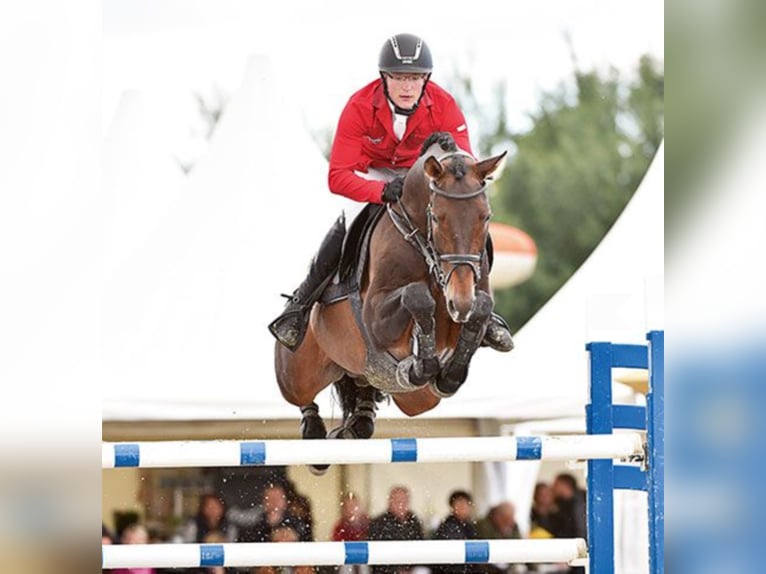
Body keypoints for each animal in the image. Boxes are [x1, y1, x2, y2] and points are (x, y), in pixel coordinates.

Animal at [272, 133, 508, 474]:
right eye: (437, 217)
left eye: (485, 217)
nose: (459, 300)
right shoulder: (375, 318)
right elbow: (416, 296)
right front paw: (421, 363)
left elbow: (482, 309)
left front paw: (447, 373)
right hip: (296, 373)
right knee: (303, 398)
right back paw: (315, 435)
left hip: (412, 398)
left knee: (365, 397)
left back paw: (356, 424)